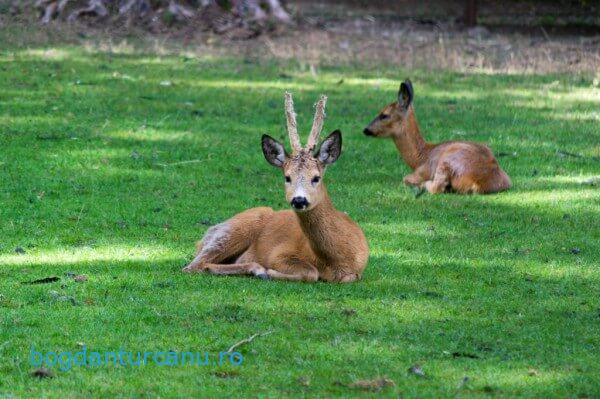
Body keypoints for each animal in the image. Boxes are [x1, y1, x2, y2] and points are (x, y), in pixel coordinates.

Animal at [183, 92, 370, 282]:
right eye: (287, 177)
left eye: (316, 178)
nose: (299, 200)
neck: (337, 260)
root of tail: (204, 237)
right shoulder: (278, 254)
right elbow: (311, 273)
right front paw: (270, 271)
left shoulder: (357, 272)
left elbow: (346, 277)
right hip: (236, 228)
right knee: (195, 265)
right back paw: (258, 270)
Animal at [364, 79, 508, 195]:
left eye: (384, 115)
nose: (366, 130)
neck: (420, 158)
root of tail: (478, 183)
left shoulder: (423, 171)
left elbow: (405, 178)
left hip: (446, 163)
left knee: (436, 187)